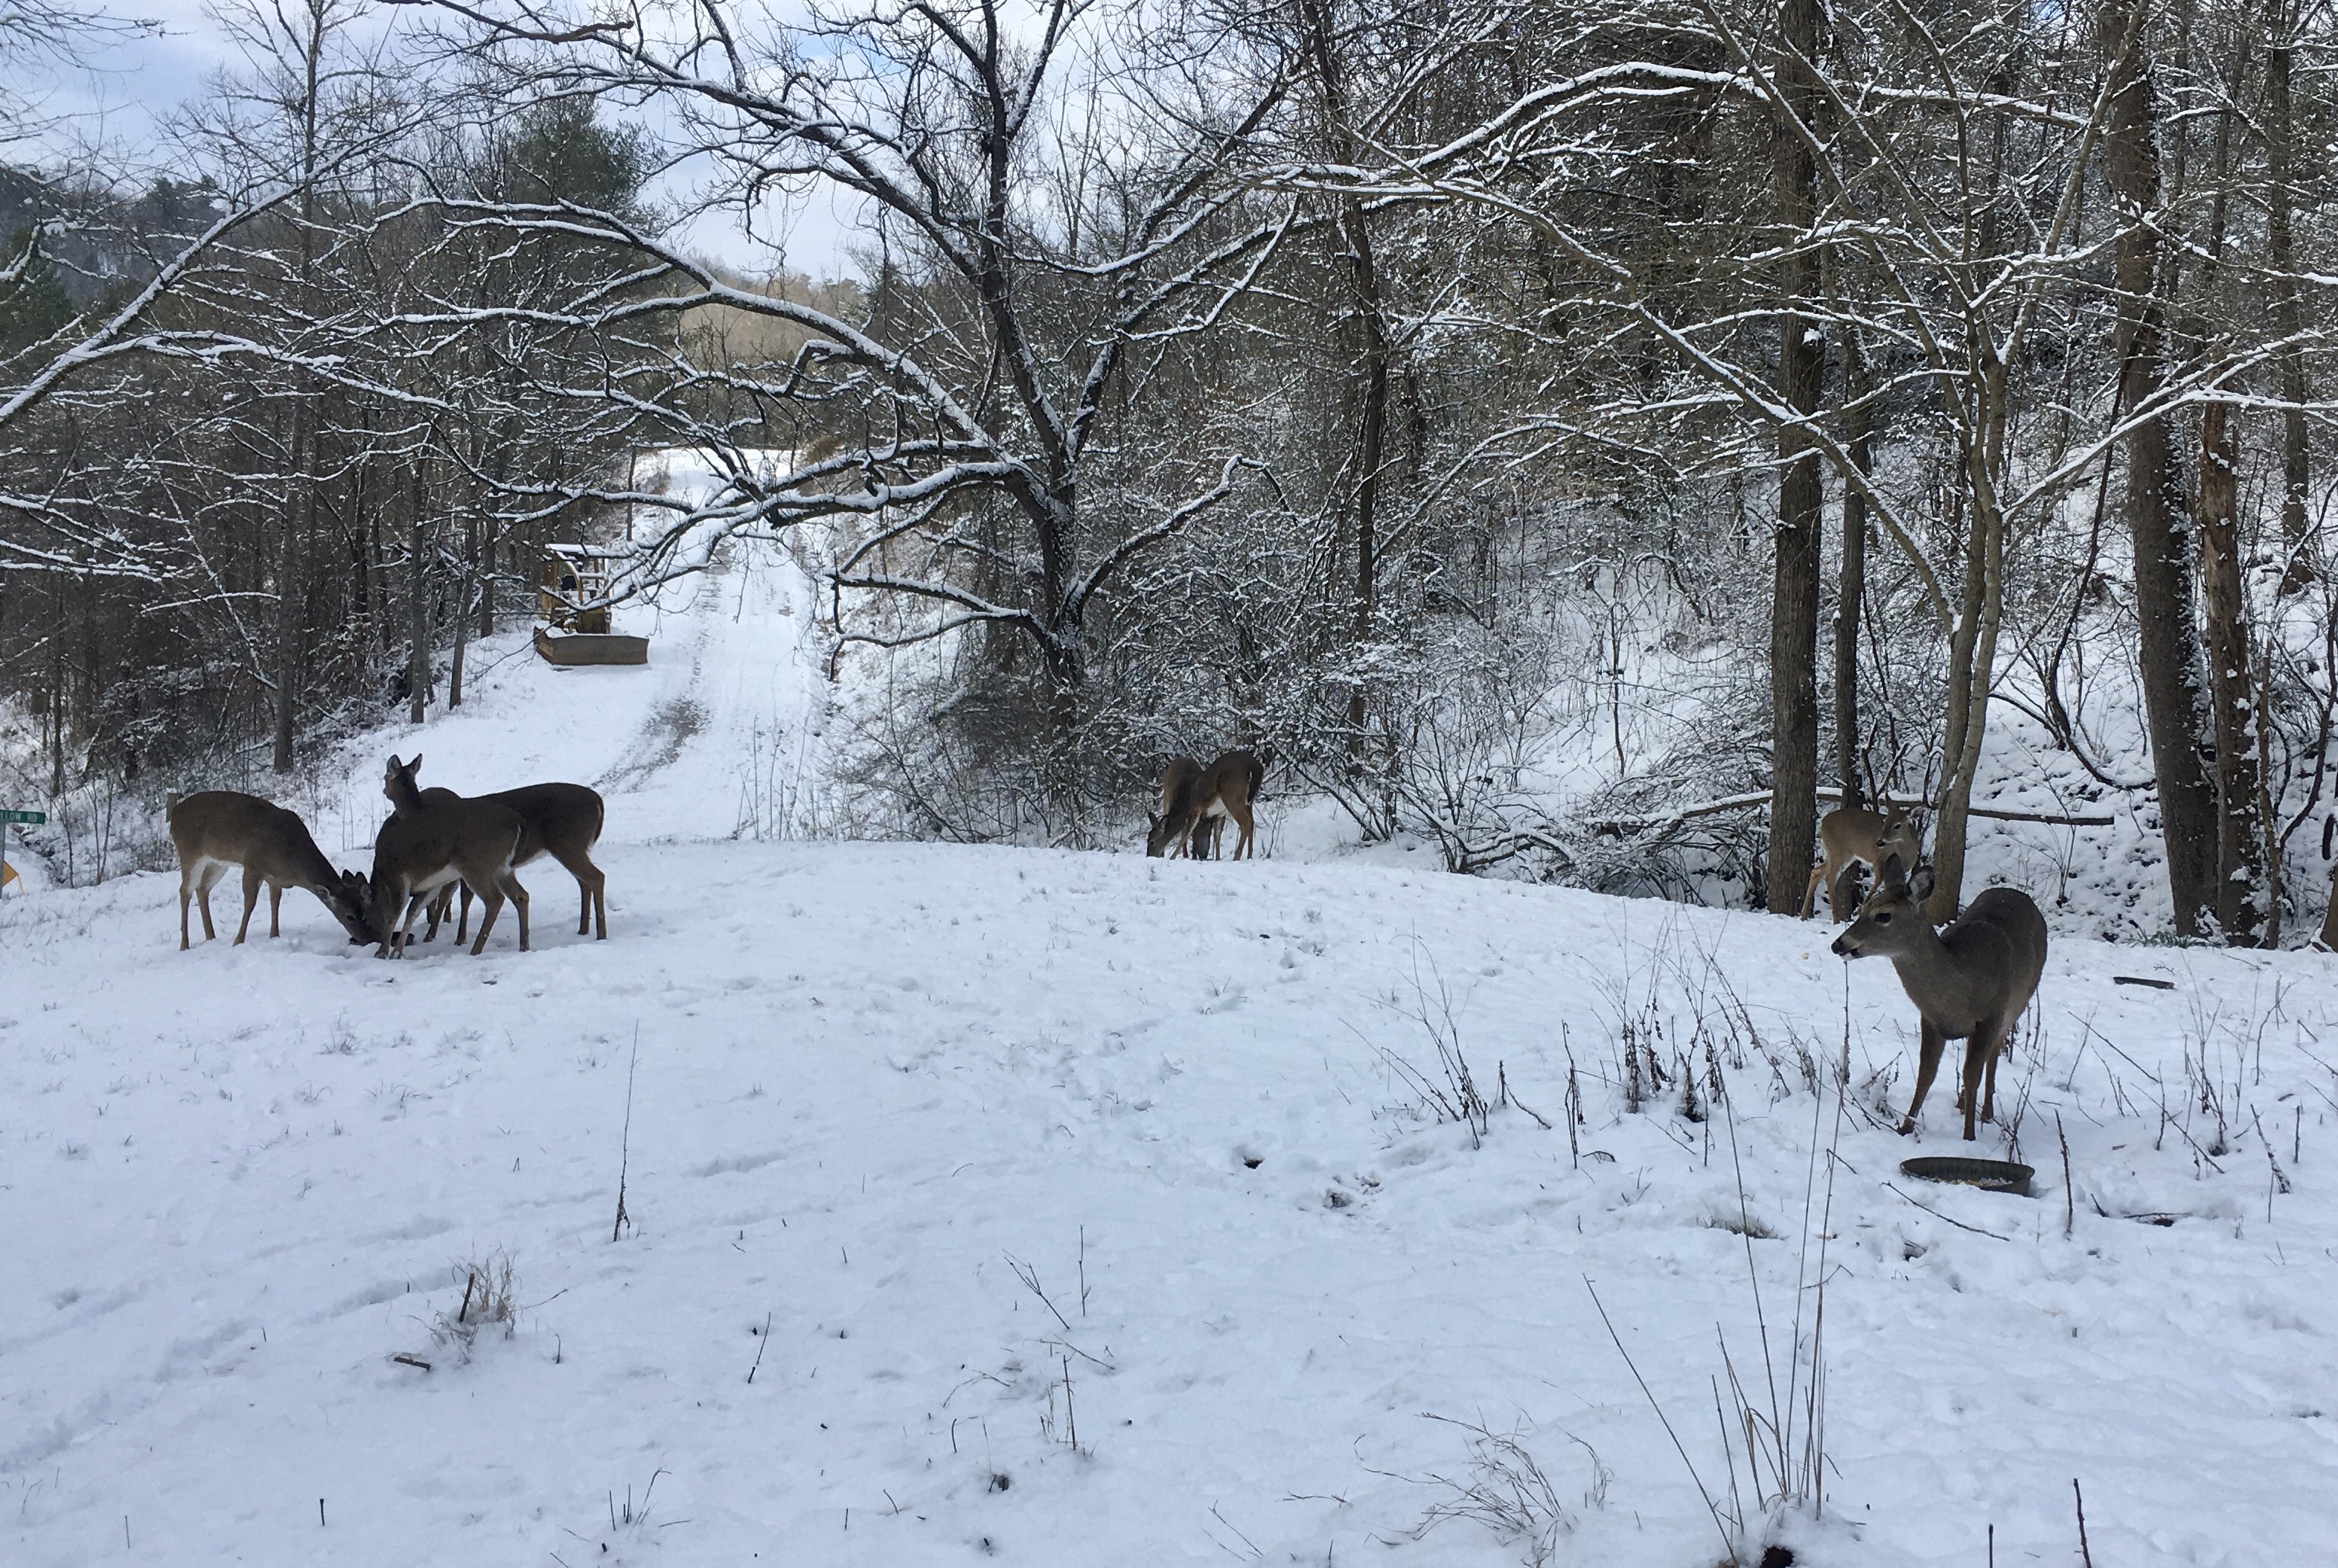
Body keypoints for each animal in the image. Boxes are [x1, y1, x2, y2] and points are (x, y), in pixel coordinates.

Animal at [168, 791, 375, 950]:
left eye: (366, 913)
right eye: (349, 916)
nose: (366, 939)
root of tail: (174, 813)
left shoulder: (275, 877)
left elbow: (275, 902)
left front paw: (275, 936)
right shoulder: (253, 864)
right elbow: (250, 904)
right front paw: (238, 941)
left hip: (217, 862)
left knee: (202, 888)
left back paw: (211, 936)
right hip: (189, 852)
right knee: (184, 891)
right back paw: (184, 945)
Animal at [370, 754, 532, 957]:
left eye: (386, 777)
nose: (385, 790)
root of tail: (518, 822)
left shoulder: (398, 876)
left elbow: (395, 914)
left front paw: (383, 952)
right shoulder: (434, 881)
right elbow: (413, 910)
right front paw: (397, 952)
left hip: (477, 865)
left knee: (495, 899)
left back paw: (475, 950)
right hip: (502, 868)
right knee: (521, 896)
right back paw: (523, 946)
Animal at [381, 757, 610, 943]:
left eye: (385, 777)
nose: (384, 791)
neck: (419, 811)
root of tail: (598, 800)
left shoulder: (463, 867)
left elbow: (456, 898)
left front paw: (442, 936)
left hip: (569, 844)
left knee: (595, 877)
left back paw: (600, 933)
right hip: (575, 847)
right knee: (584, 882)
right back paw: (583, 929)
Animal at [1802, 803, 1923, 921]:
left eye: (1898, 825)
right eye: (1884, 821)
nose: (1879, 842)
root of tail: (1823, 822)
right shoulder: (1877, 859)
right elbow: (1878, 881)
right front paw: (1860, 911)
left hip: (1842, 855)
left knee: (1817, 871)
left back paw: (1803, 916)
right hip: (1838, 851)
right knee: (1829, 877)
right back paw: (1836, 919)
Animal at [1831, 855, 2048, 1141]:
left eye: (1884, 915)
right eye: (1864, 906)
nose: (1838, 944)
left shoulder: (1992, 1015)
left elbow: (1972, 1073)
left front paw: (1969, 1137)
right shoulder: (1931, 1018)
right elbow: (1927, 1073)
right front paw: (1905, 1128)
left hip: (2019, 1002)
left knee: (1993, 1055)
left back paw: (1985, 1113)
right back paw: (1962, 1104)